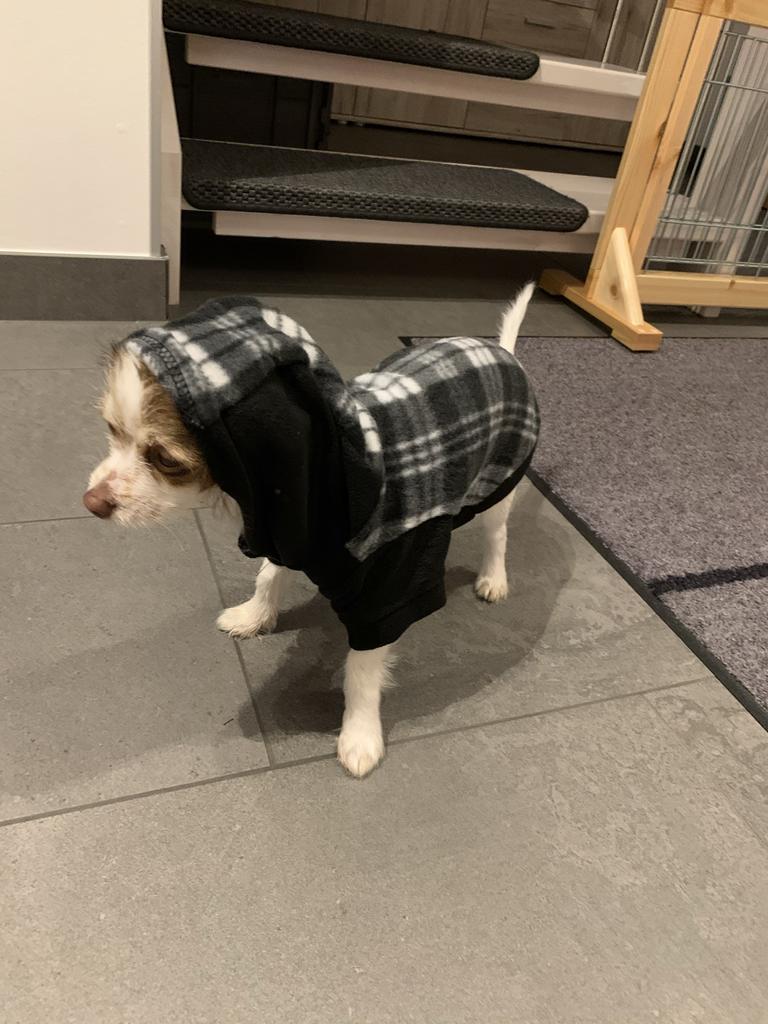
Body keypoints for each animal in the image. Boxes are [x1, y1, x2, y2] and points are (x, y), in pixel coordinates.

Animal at [84, 285, 538, 777]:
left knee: (498, 534)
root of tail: (502, 352)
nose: (91, 503)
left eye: (166, 459)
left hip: (499, 480)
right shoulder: (287, 529)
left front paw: (360, 735)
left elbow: (362, 673)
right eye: (111, 429)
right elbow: (268, 575)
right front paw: (254, 616)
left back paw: (493, 578)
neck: (338, 470)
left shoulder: (385, 592)